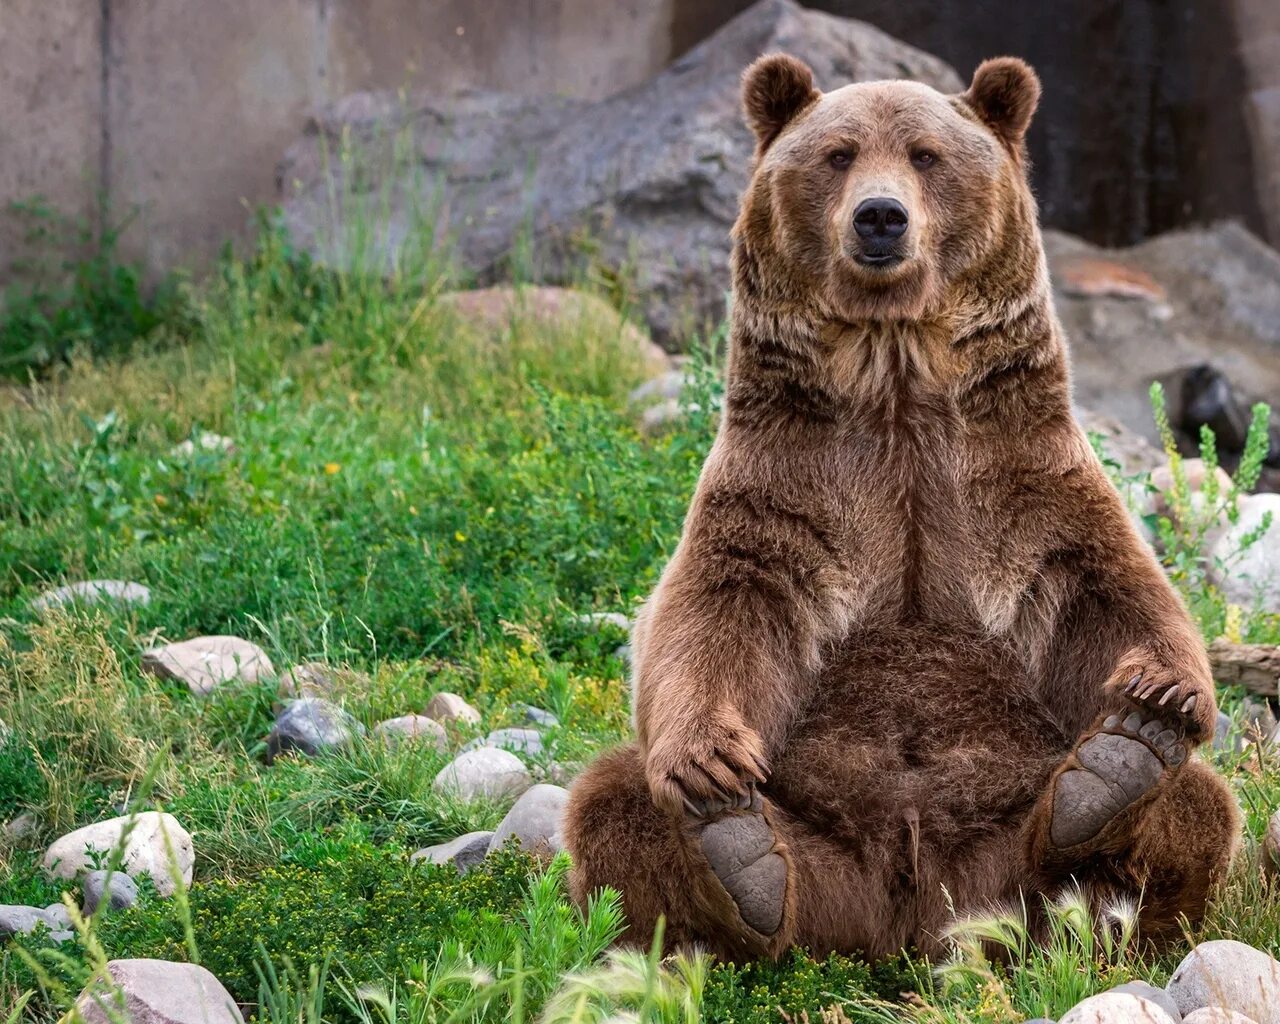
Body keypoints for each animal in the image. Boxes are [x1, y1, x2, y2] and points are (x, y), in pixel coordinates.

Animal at [563, 54, 1239, 962]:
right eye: (838, 154)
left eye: (926, 154)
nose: (880, 217)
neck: (896, 376)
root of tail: (911, 916)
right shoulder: (788, 483)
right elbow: (716, 609)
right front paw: (706, 764)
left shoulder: (1017, 477)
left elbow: (1107, 588)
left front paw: (1160, 695)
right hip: (822, 850)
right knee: (611, 800)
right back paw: (740, 862)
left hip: (1003, 846)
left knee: (1196, 806)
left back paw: (1114, 776)